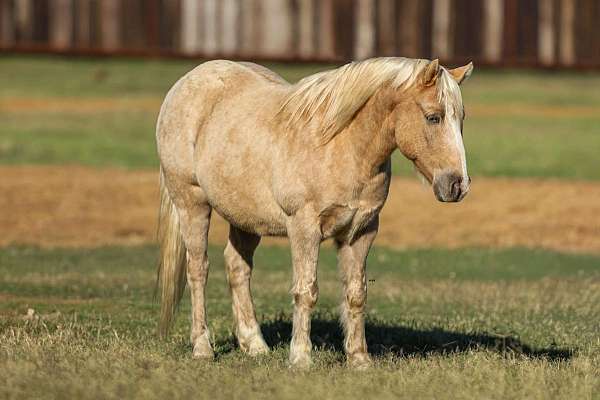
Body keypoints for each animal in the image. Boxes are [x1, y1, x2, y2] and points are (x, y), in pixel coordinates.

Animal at [156, 57, 474, 368]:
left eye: (461, 119)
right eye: (433, 117)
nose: (458, 185)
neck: (341, 146)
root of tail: (187, 82)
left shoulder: (361, 232)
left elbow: (356, 294)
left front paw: (359, 359)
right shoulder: (304, 229)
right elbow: (306, 291)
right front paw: (300, 358)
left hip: (245, 219)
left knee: (237, 268)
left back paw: (255, 345)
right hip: (192, 204)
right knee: (198, 270)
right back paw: (202, 347)